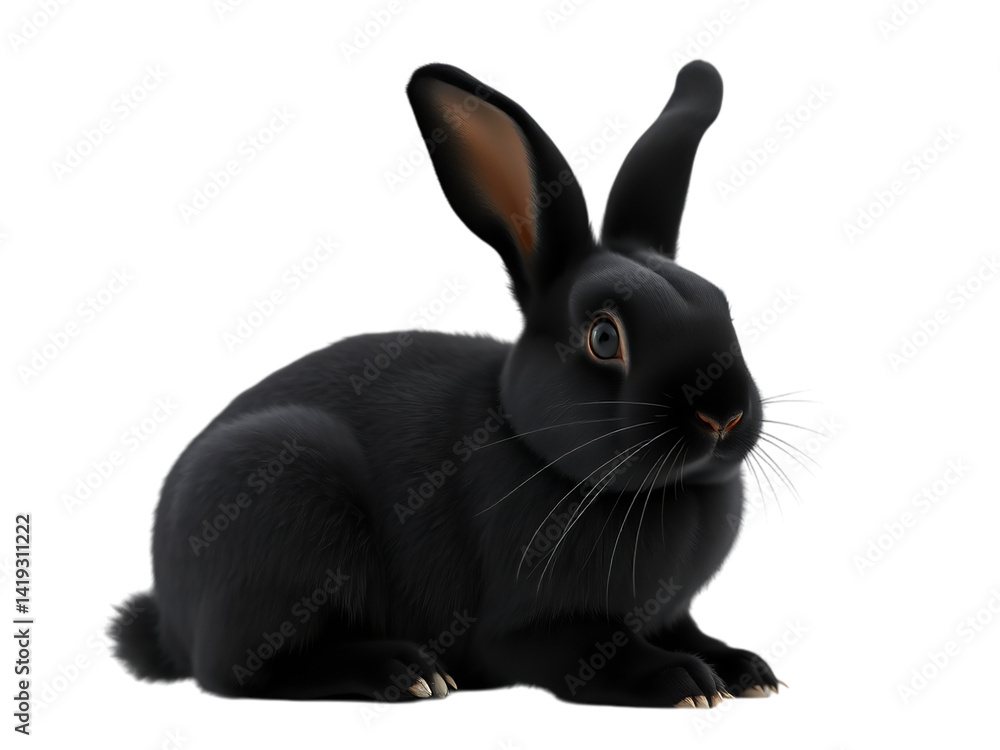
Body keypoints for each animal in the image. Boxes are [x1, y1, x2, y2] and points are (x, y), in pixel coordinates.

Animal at [109, 59, 782, 708]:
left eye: (722, 304)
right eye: (603, 337)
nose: (722, 414)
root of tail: (168, 619)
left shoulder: (673, 613)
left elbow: (693, 632)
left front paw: (748, 671)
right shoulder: (526, 629)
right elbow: (594, 648)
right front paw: (684, 681)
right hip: (280, 498)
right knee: (244, 670)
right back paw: (404, 671)